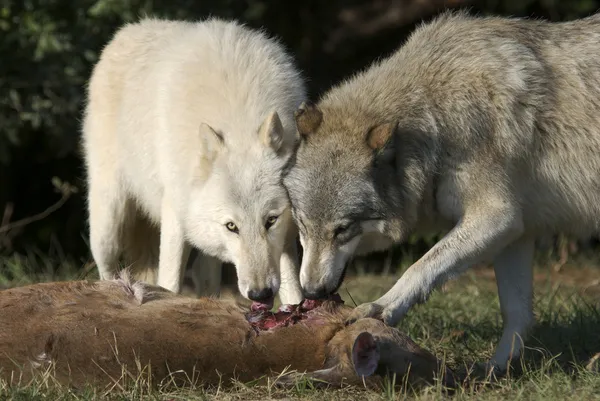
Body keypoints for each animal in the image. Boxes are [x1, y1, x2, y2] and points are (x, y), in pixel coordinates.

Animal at [82, 16, 308, 306]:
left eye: (270, 220)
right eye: (232, 226)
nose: (260, 294)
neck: (238, 120)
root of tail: (128, 30)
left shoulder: (287, 232)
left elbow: (292, 286)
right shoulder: (175, 211)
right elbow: (169, 282)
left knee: (205, 274)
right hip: (109, 224)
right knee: (107, 267)